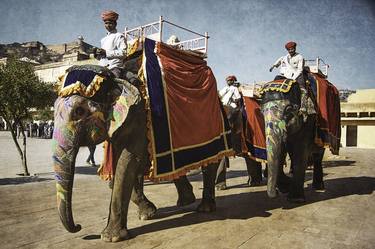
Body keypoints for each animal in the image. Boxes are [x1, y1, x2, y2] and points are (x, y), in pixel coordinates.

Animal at [51, 59, 222, 241]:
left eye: (79, 111)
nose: (79, 227)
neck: (115, 79)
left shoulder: (138, 119)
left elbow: (127, 162)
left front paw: (110, 238)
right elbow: (124, 164)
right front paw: (148, 214)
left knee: (211, 163)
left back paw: (205, 208)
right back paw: (186, 201)